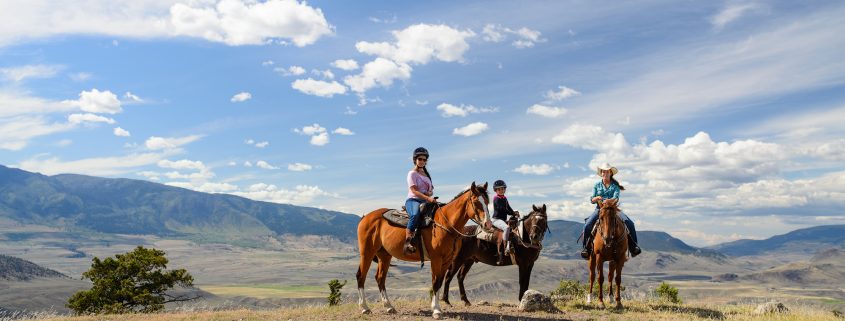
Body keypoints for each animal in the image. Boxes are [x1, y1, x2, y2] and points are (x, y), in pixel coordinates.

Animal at [354, 180, 488, 318]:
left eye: (487, 202)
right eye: (476, 202)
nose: (487, 224)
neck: (445, 224)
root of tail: (365, 217)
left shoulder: (447, 260)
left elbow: (439, 282)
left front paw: (436, 308)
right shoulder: (436, 259)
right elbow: (435, 282)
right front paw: (436, 310)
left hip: (384, 255)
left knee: (380, 278)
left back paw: (389, 307)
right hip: (367, 253)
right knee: (361, 276)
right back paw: (364, 308)